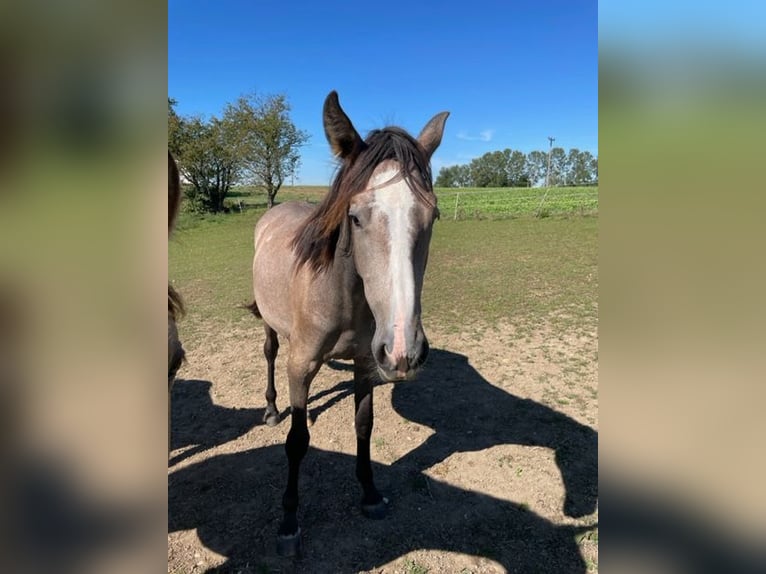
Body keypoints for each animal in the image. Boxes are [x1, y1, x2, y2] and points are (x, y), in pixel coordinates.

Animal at [249, 93, 448, 560]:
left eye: (432, 215)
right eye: (355, 217)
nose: (404, 351)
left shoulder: (365, 362)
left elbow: (364, 425)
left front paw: (370, 495)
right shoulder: (301, 363)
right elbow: (297, 442)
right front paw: (289, 522)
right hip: (270, 329)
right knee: (270, 356)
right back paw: (272, 409)